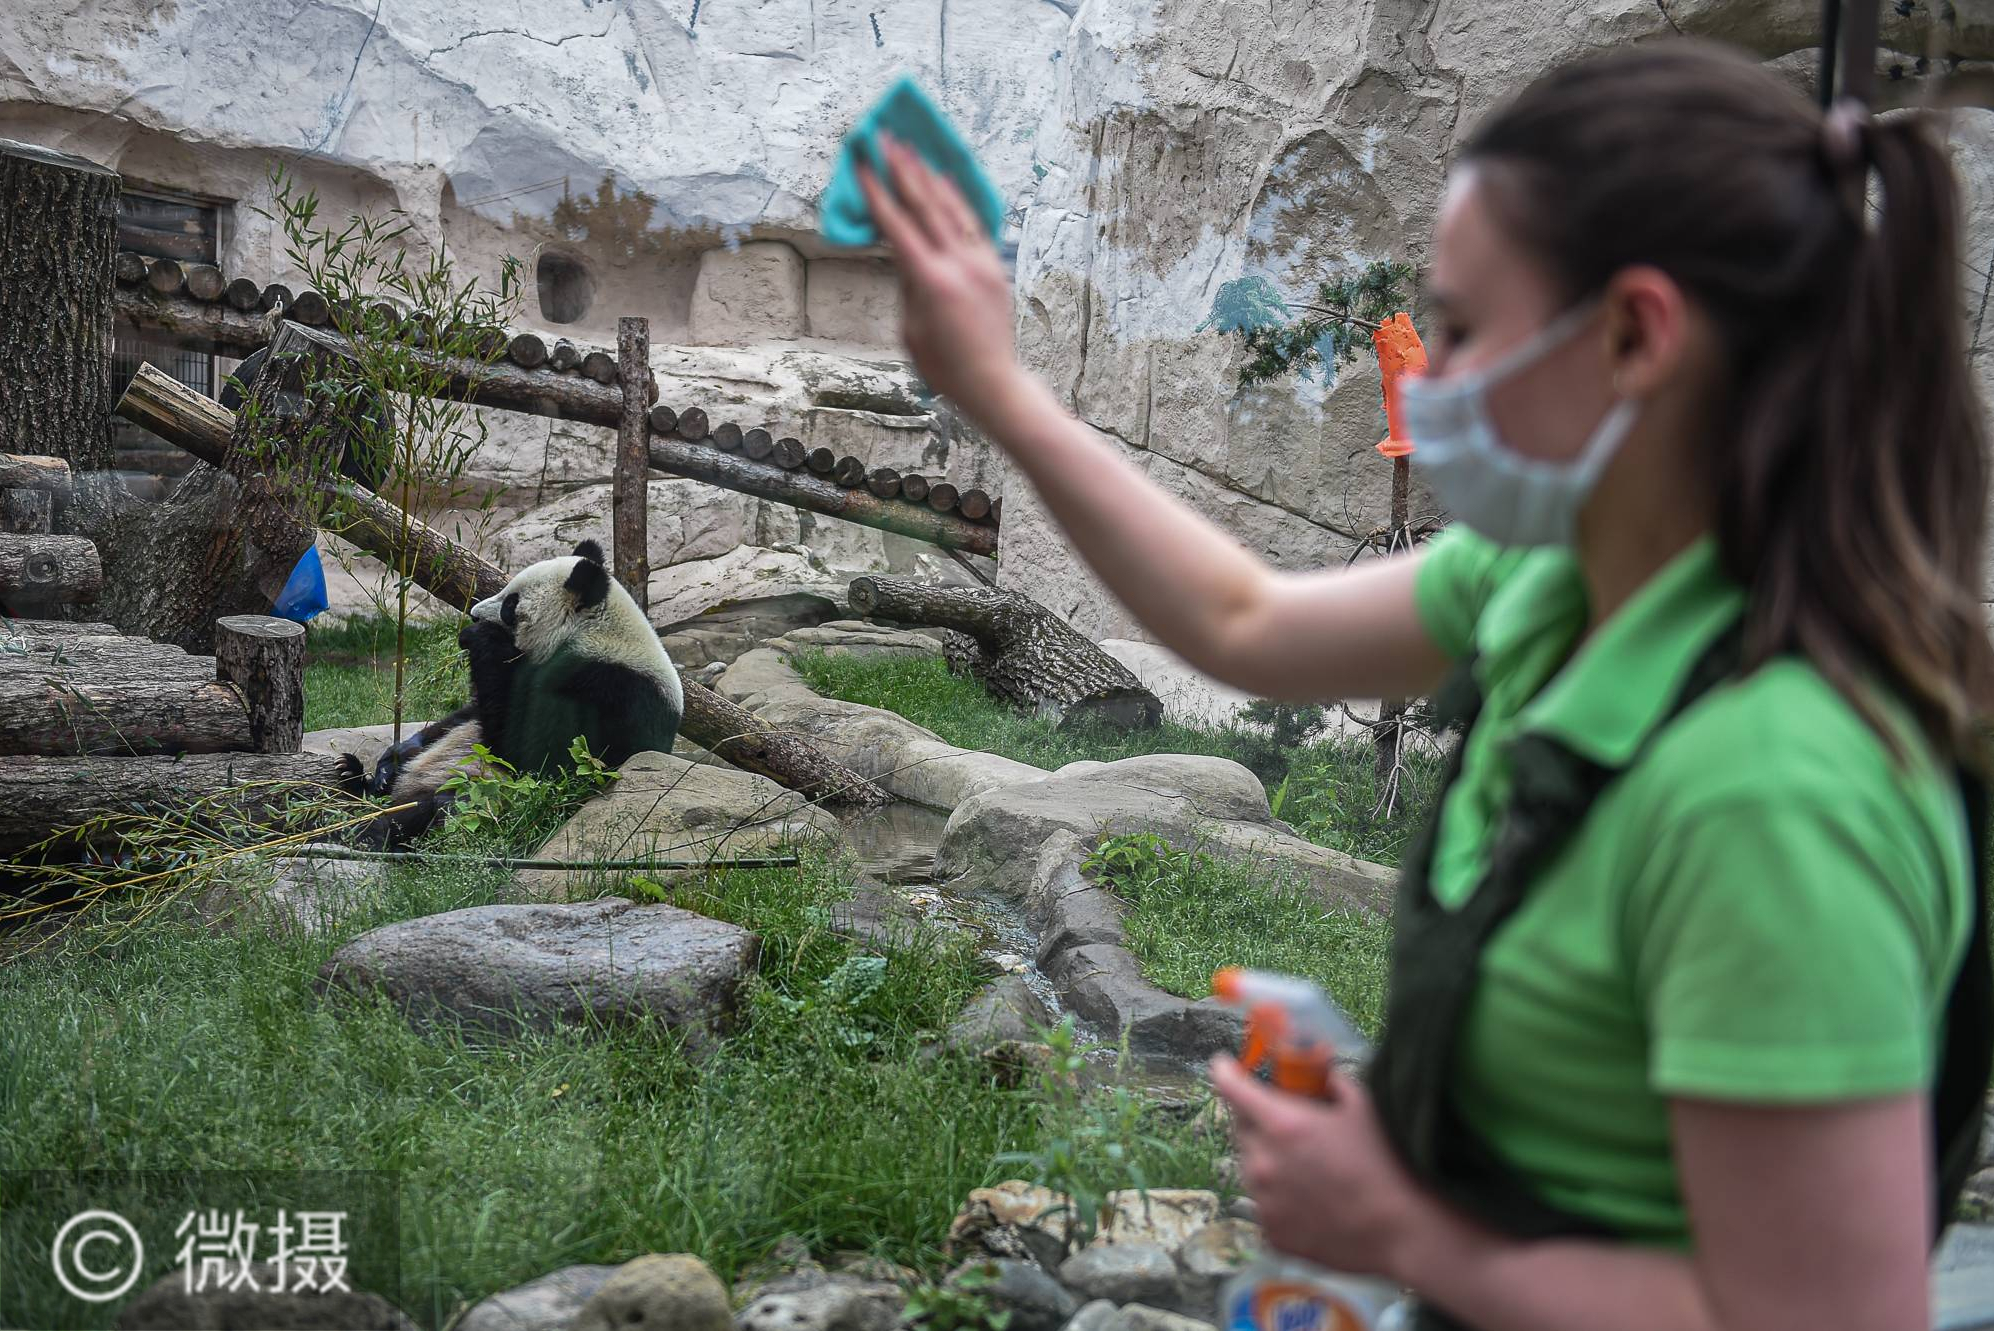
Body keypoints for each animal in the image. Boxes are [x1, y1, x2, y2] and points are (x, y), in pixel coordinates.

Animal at [339, 539, 684, 846]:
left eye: (510, 605)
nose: (474, 614)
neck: (594, 634)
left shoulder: (608, 690)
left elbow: (539, 756)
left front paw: (480, 637)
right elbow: (467, 714)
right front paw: (392, 759)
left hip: (489, 796)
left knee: (450, 805)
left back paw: (373, 832)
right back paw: (352, 779)